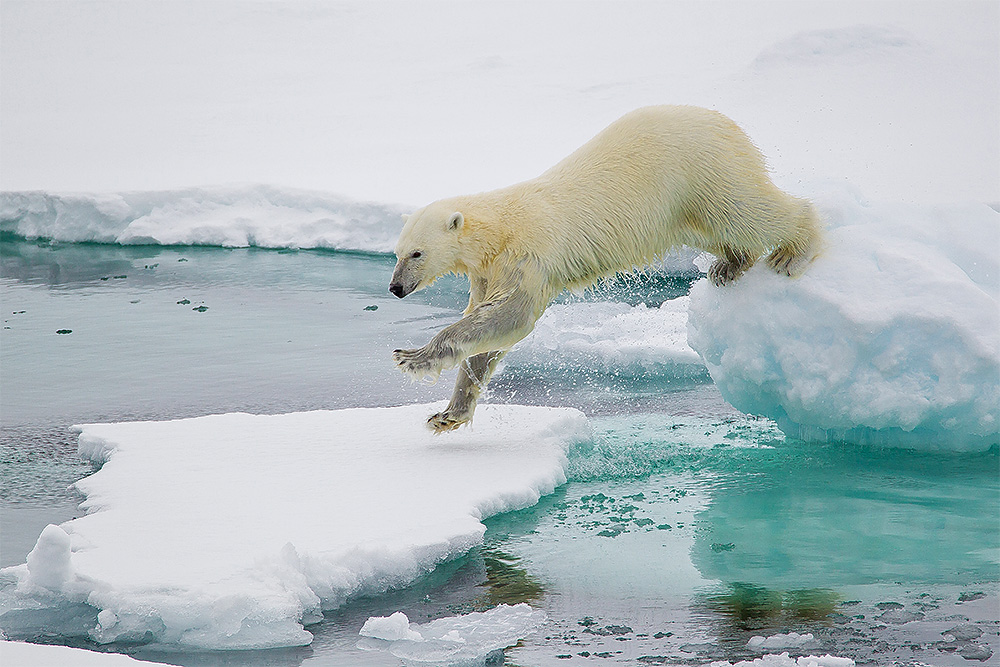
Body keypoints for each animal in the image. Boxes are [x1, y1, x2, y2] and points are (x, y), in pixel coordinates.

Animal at [388, 104, 820, 434]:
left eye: (417, 254)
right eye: (397, 252)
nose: (395, 288)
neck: (501, 226)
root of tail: (725, 122)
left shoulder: (529, 254)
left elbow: (513, 317)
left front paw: (411, 357)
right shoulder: (488, 272)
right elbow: (486, 334)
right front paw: (448, 414)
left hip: (702, 169)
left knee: (746, 209)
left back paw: (792, 251)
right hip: (685, 202)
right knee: (718, 226)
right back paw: (729, 265)